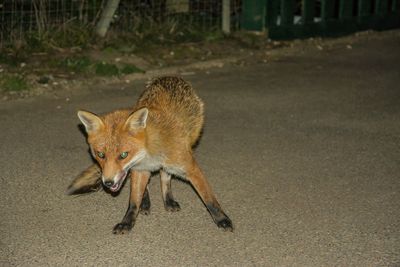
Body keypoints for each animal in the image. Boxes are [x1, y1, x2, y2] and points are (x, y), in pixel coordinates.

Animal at [67, 76, 233, 233]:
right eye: (100, 155)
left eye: (123, 155)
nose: (107, 183)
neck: (149, 154)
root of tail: (169, 76)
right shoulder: (139, 169)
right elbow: (133, 202)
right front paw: (127, 222)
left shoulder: (190, 167)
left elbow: (208, 197)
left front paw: (222, 219)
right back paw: (146, 203)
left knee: (165, 176)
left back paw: (168, 200)